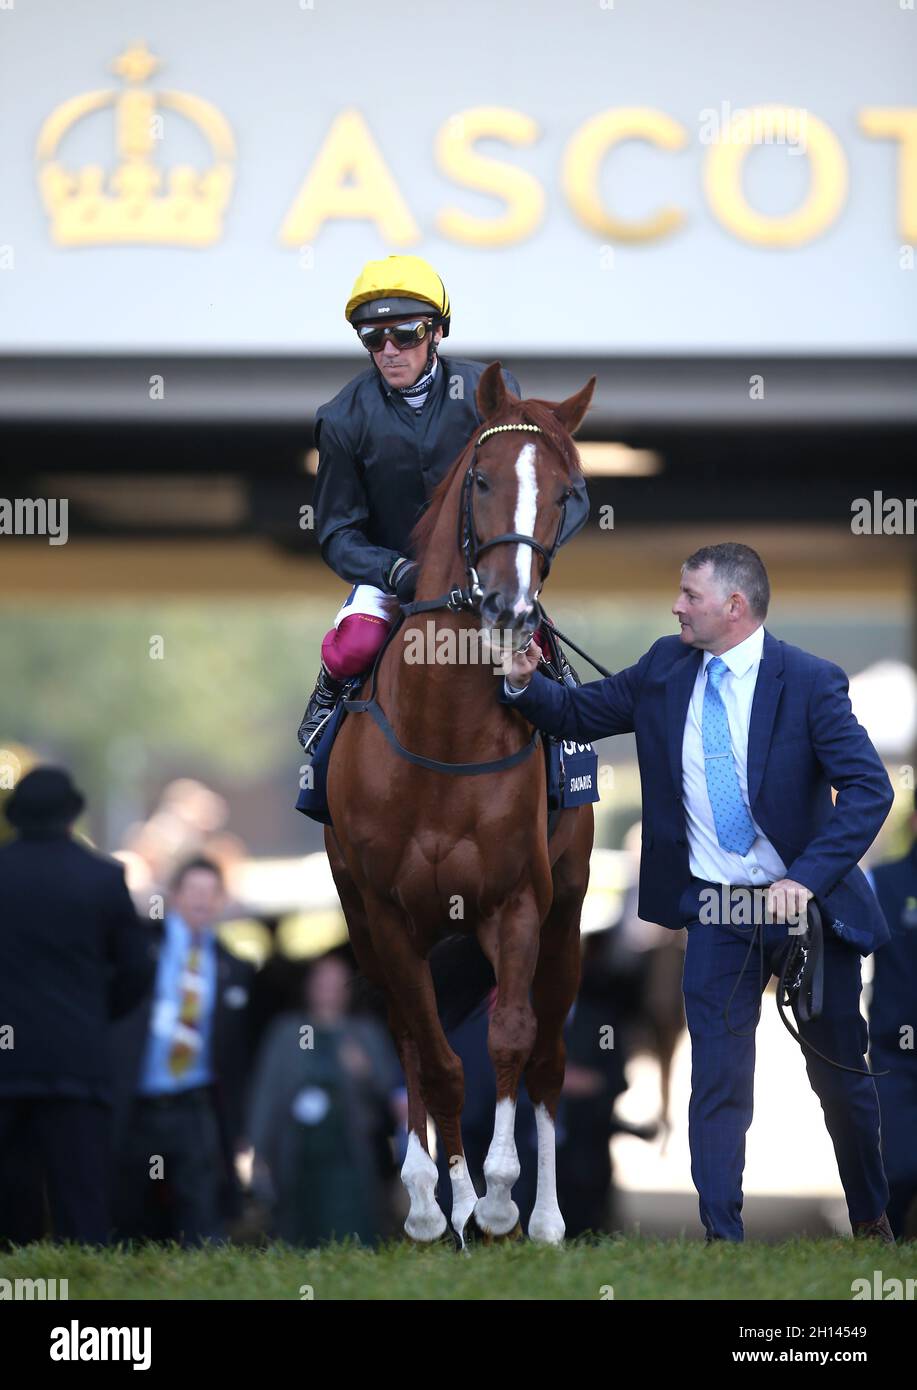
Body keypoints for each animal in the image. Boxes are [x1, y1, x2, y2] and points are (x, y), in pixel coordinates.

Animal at [326, 361, 597, 1251]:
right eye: (481, 480)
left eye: (567, 494)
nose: (512, 611)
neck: (441, 731)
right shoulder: (383, 910)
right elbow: (436, 1059)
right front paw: (447, 1201)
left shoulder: (518, 900)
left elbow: (510, 1041)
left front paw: (504, 1200)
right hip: (369, 920)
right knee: (411, 1038)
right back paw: (427, 1201)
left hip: (567, 911)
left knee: (547, 1055)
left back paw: (540, 1218)